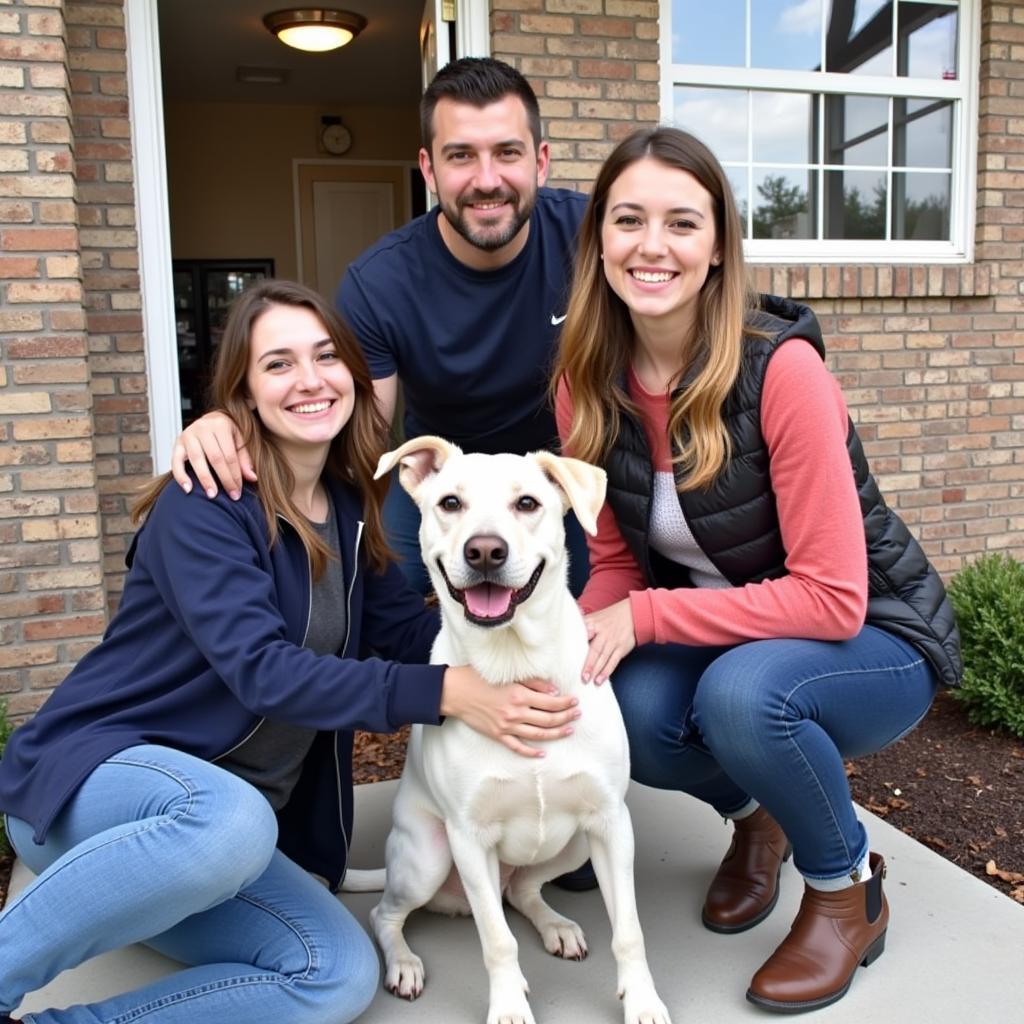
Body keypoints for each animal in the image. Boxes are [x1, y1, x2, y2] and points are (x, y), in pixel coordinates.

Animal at [368, 436, 671, 1024]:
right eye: (451, 503)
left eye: (527, 503)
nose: (485, 551)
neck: (516, 664)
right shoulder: (469, 838)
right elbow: (497, 941)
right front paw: (508, 1006)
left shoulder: (609, 823)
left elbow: (630, 930)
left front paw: (643, 1001)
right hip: (428, 858)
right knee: (385, 913)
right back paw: (404, 963)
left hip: (572, 848)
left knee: (523, 893)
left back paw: (557, 926)